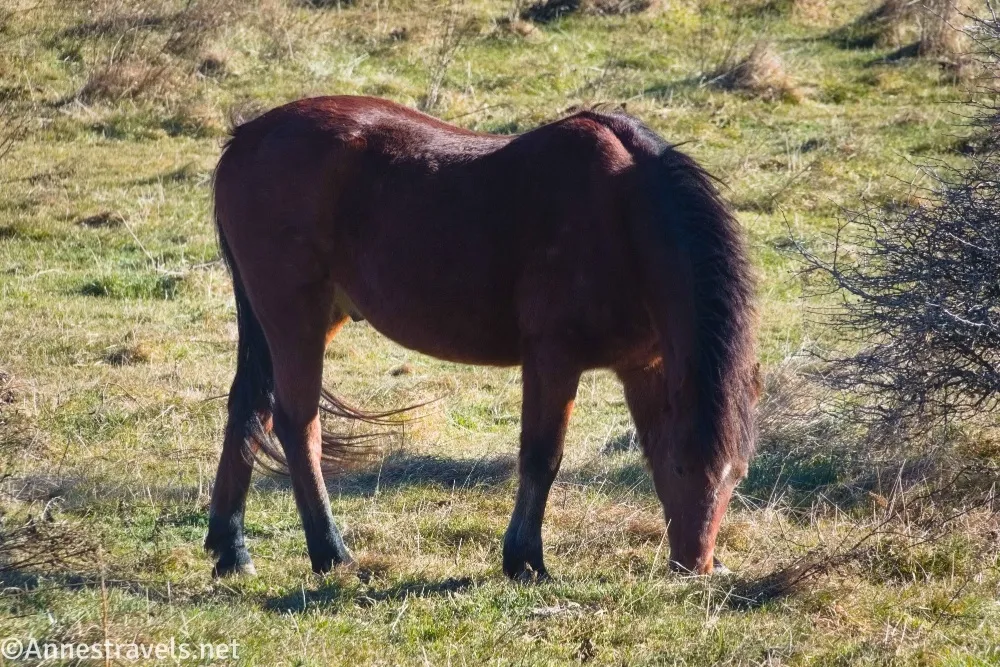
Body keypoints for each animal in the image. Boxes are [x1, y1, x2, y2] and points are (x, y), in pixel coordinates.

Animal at [205, 95, 759, 580]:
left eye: (735, 475)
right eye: (683, 469)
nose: (695, 567)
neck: (622, 214)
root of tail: (246, 137)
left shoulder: (644, 368)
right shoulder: (552, 359)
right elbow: (541, 457)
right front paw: (525, 560)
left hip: (300, 319)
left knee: (250, 409)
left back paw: (232, 550)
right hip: (294, 315)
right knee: (298, 427)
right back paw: (330, 553)